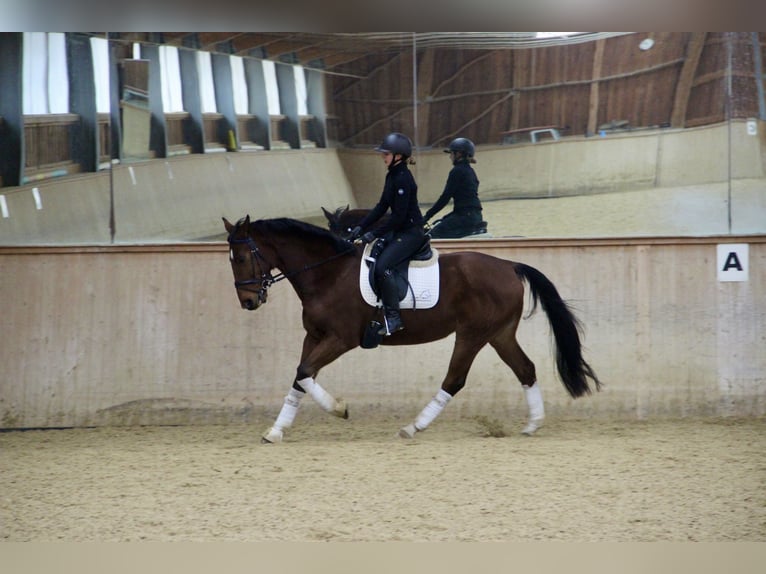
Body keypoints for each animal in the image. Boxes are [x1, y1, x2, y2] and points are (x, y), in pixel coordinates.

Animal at [225, 216, 604, 446]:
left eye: (241, 258)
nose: (247, 302)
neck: (327, 273)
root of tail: (509, 265)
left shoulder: (340, 339)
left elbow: (305, 372)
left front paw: (339, 409)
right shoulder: (314, 336)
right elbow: (299, 378)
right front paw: (276, 431)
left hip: (473, 334)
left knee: (454, 380)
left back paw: (413, 427)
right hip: (500, 334)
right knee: (525, 369)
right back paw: (532, 425)